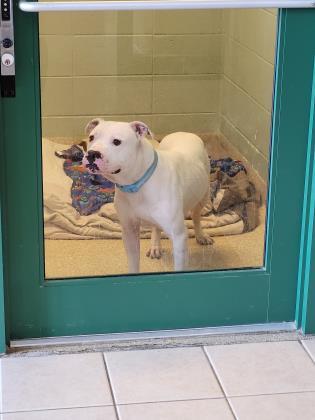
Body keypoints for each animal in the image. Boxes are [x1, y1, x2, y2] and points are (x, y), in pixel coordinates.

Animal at [82, 120, 214, 272]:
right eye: (92, 137)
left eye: (116, 141)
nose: (92, 153)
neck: (137, 183)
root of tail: (184, 132)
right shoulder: (129, 231)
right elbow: (133, 263)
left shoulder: (178, 238)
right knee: (156, 227)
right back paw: (155, 246)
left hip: (203, 195)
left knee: (196, 216)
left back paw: (200, 235)